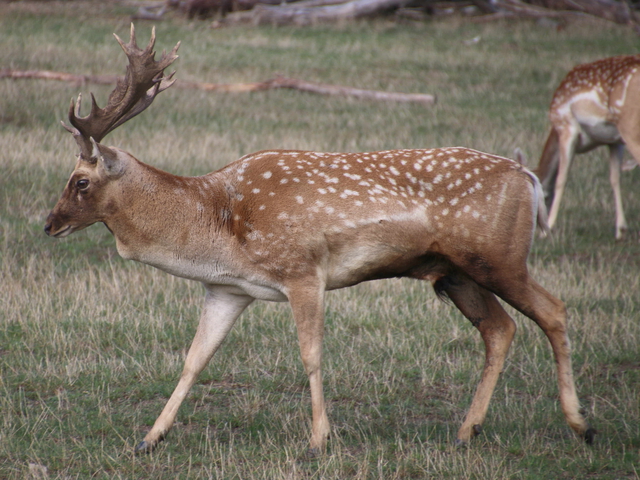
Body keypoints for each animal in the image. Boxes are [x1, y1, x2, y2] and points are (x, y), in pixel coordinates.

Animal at [45, 25, 596, 454]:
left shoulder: (303, 270)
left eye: (81, 181)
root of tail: (528, 179)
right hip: (456, 273)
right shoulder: (227, 289)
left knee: (553, 310)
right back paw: (467, 431)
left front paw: (318, 441)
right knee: (500, 329)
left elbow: (310, 355)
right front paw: (149, 438)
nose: (47, 224)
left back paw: (581, 426)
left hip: (500, 256)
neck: (215, 224)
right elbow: (194, 359)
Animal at [536, 54, 640, 240]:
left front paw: (550, 228)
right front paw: (620, 230)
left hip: (630, 125)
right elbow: (615, 178)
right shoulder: (614, 141)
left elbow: (561, 179)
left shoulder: (567, 127)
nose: (540, 227)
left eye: (544, 197)